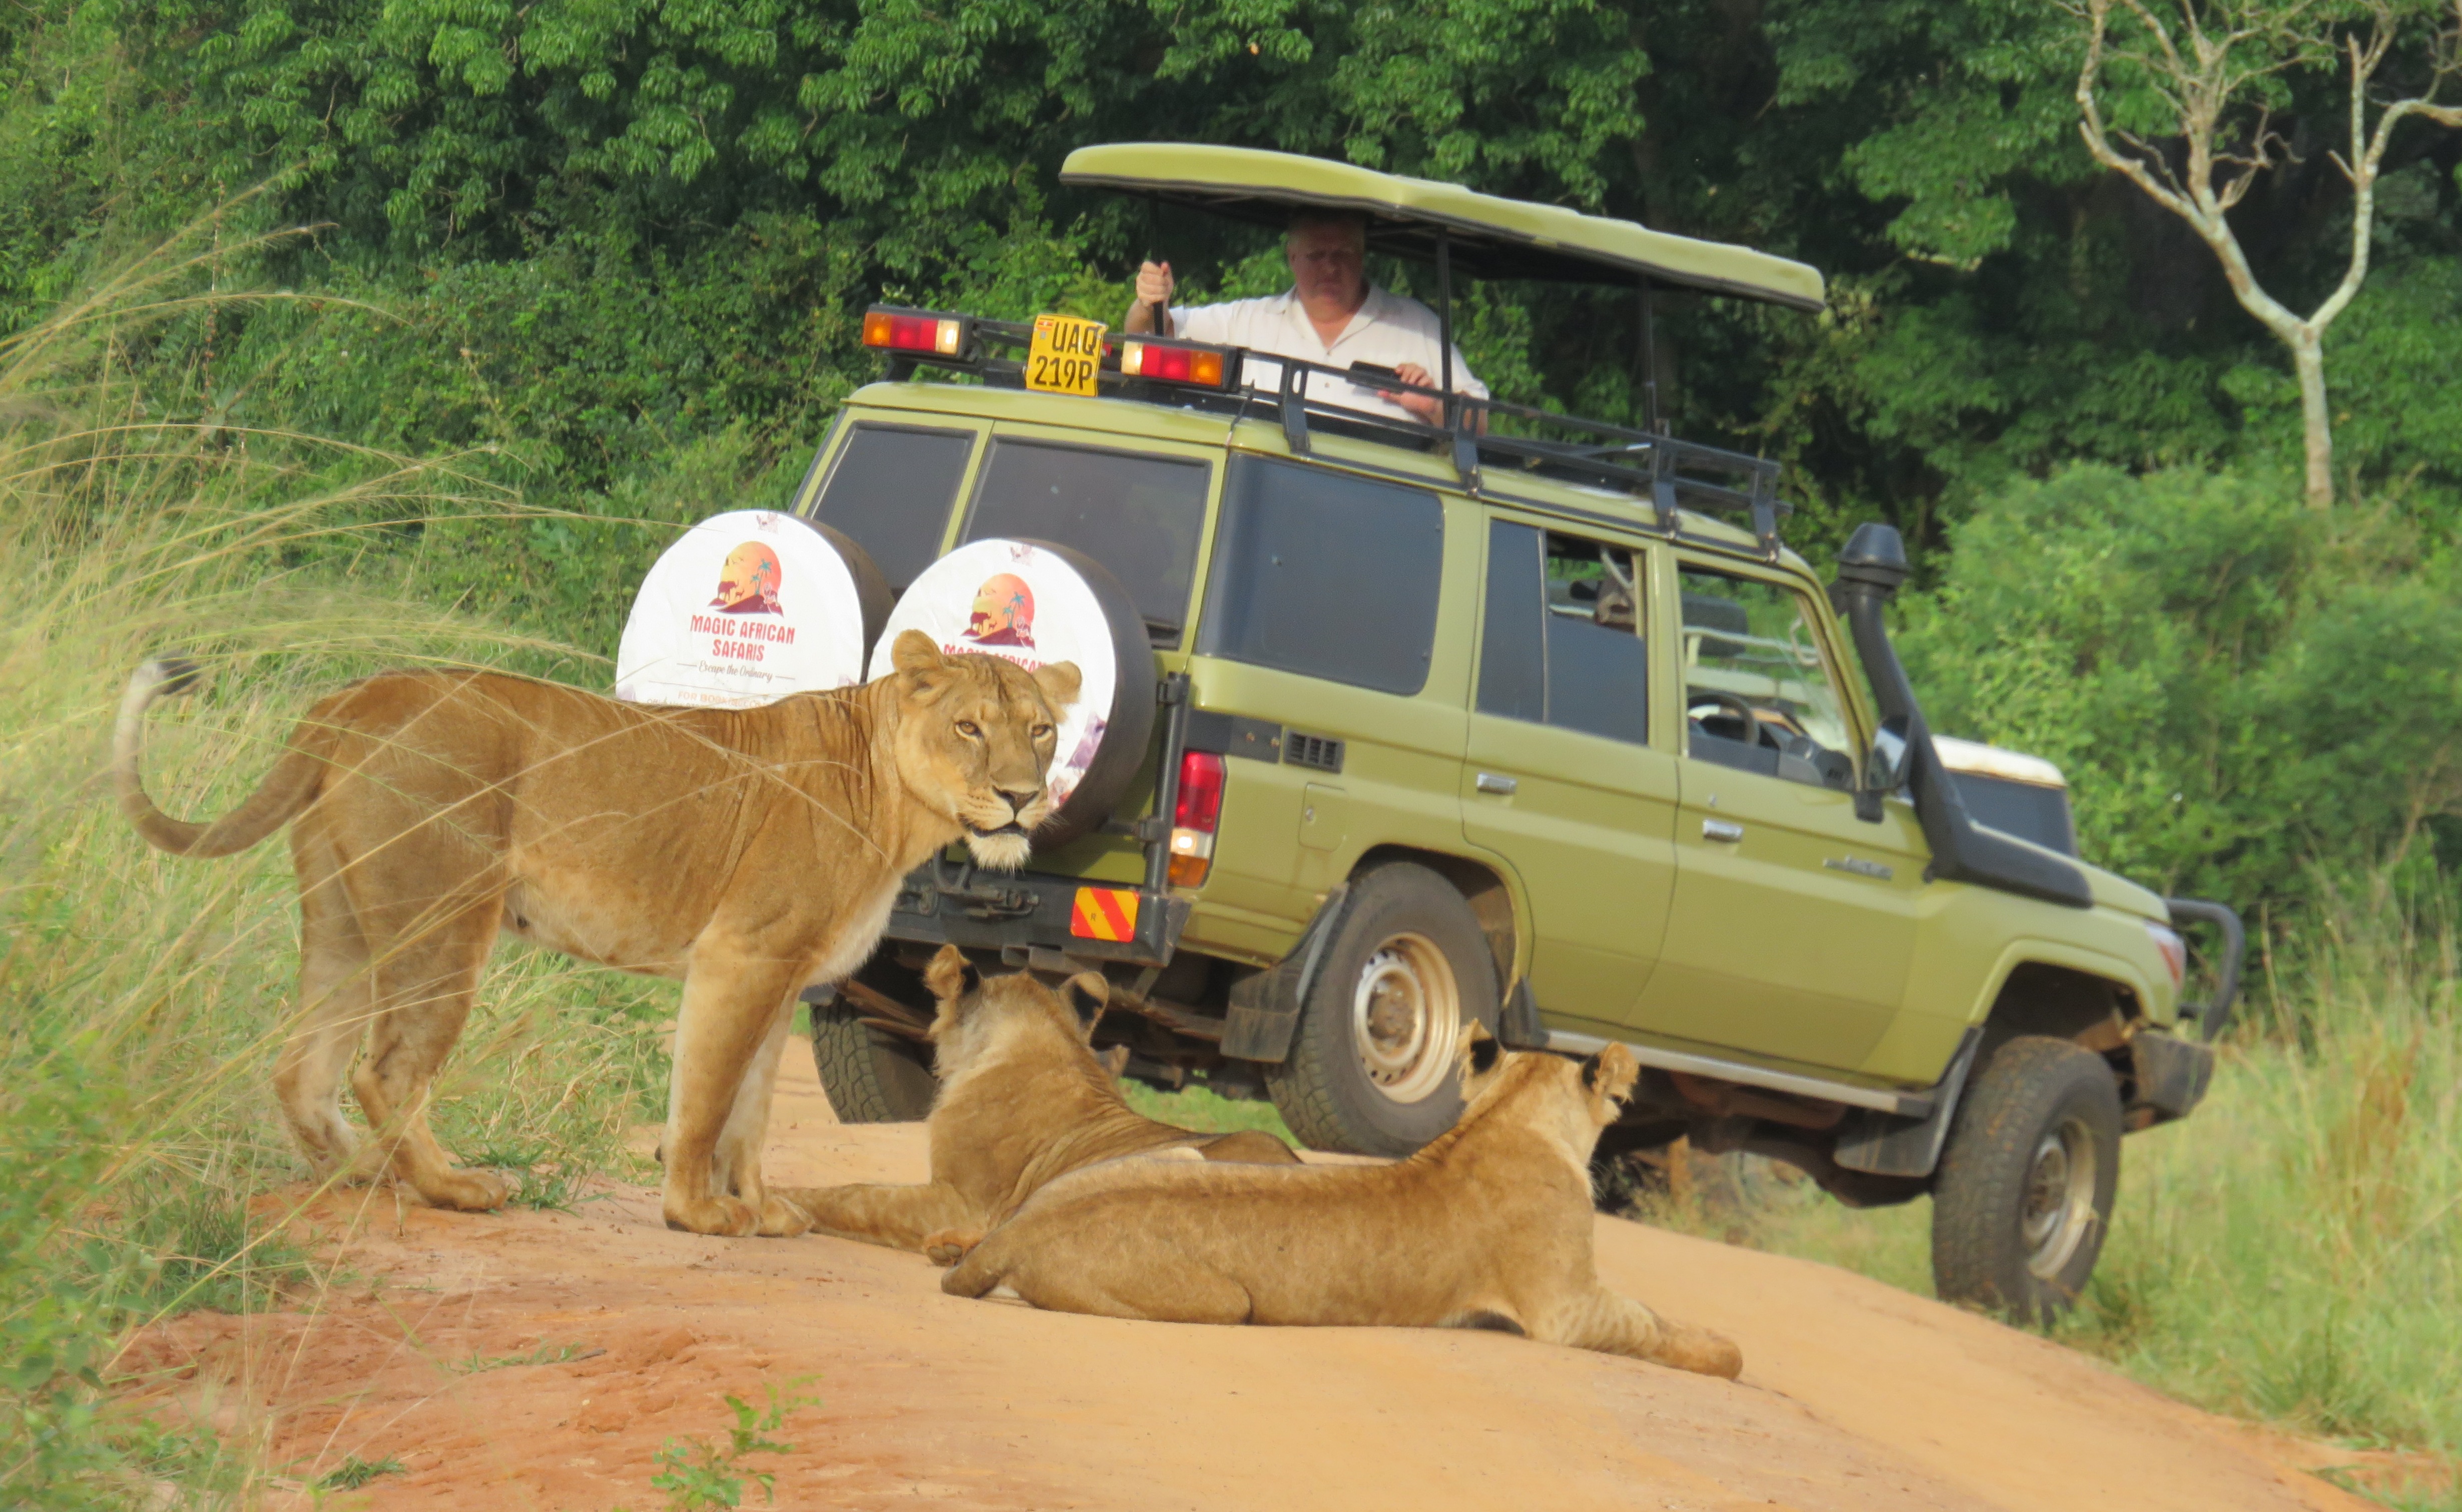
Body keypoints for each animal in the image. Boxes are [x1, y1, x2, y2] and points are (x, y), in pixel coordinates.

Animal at [112, 630, 1077, 1238]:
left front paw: (764, 1210)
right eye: (968, 726)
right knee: (381, 1070)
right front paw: (697, 1212)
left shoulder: (785, 974)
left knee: (301, 1068)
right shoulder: (740, 955)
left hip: (347, 921)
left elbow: (754, 1109)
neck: (893, 803)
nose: (1023, 797)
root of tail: (360, 693)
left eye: (1040, 730)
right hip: (442, 918)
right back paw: (450, 1186)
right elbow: (706, 1098)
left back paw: (364, 1174)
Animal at [938, 1039, 1743, 1378]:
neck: (1507, 1115)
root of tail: (1021, 1230)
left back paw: (949, 1245)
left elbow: (1651, 1318)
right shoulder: (1564, 1310)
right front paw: (1726, 1354)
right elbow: (1651, 1326)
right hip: (1226, 1303)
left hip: (1192, 1153)